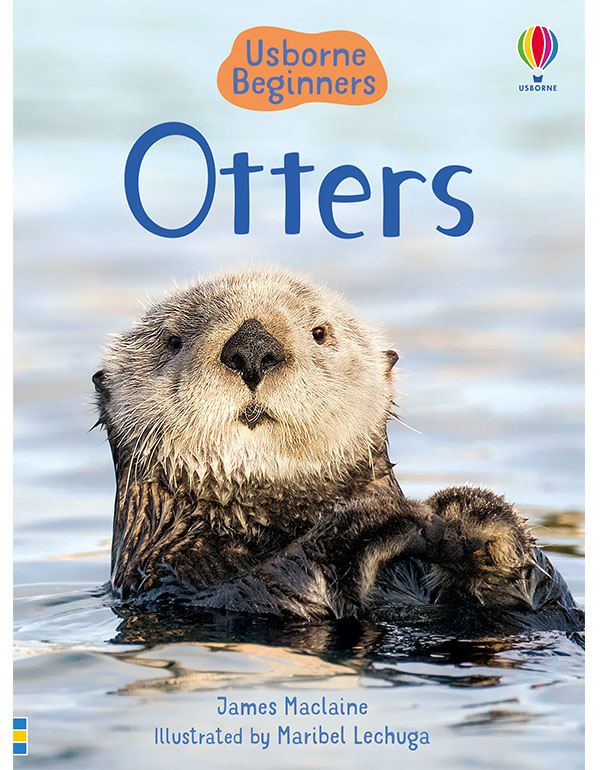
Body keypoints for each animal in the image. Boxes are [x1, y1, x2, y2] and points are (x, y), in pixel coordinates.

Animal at [93, 267, 583, 633]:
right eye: (173, 341)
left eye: (319, 332)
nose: (252, 348)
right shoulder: (170, 580)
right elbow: (256, 591)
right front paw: (379, 522)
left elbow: (549, 599)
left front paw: (474, 517)